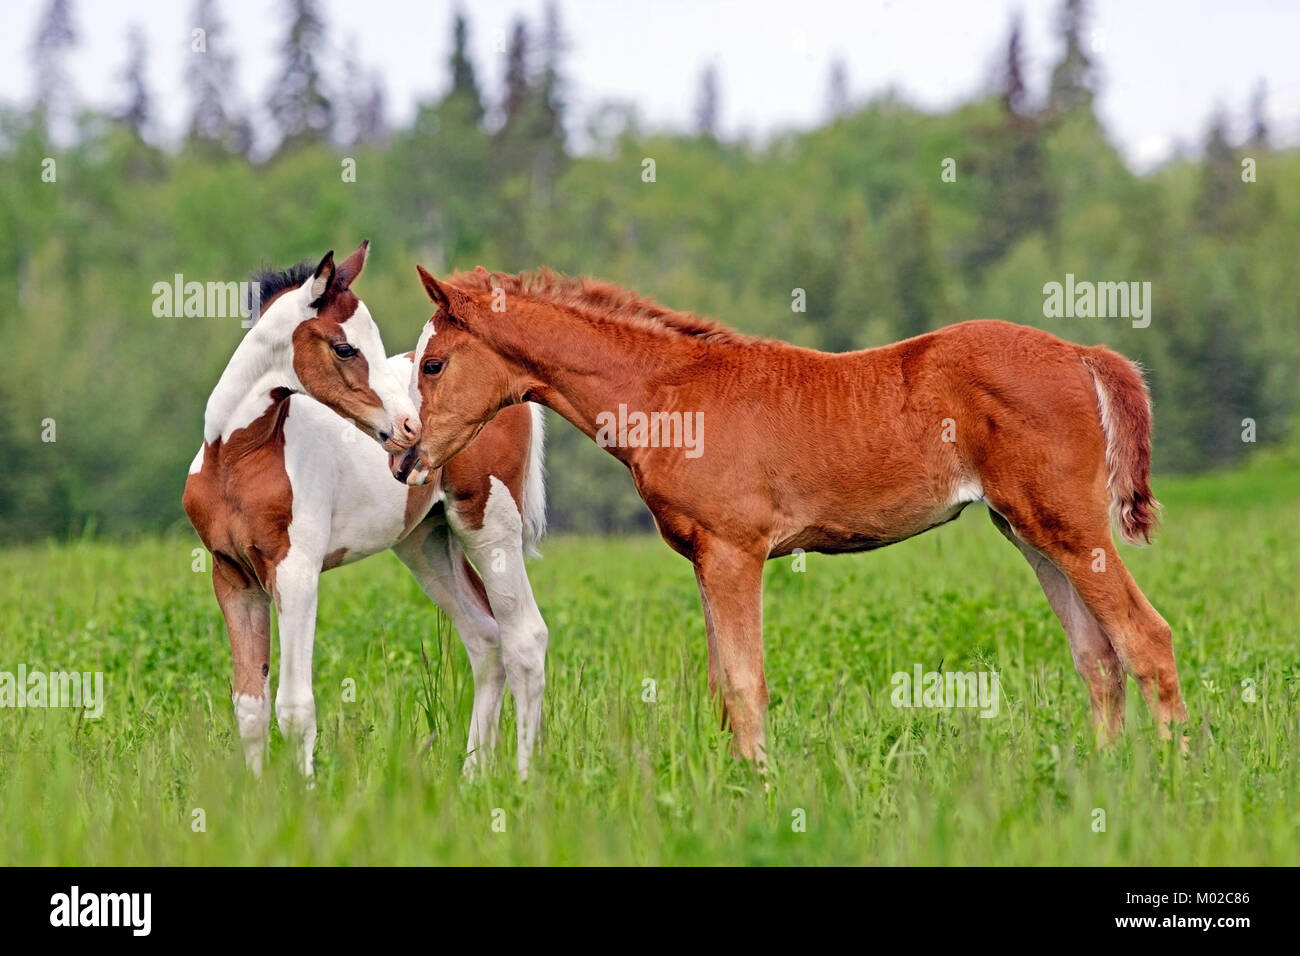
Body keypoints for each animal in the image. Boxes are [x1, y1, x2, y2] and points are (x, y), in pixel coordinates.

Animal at [184, 247, 548, 780]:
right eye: (344, 348)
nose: (409, 429)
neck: (235, 458)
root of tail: (514, 391)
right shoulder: (232, 576)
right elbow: (250, 706)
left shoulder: (296, 572)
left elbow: (294, 706)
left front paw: (303, 794)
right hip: (425, 542)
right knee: (485, 639)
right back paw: (471, 777)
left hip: (489, 525)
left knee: (526, 640)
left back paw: (521, 780)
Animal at [390, 265, 1185, 764]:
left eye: (433, 364)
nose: (404, 455)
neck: (669, 394)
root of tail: (1080, 351)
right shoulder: (705, 557)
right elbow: (722, 686)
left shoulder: (735, 551)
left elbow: (747, 685)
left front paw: (763, 789)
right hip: (1027, 531)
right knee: (1098, 657)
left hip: (1069, 527)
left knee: (1145, 639)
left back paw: (1176, 775)